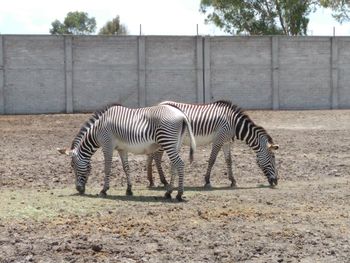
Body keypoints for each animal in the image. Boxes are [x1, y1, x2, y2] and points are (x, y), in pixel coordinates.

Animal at [56, 103, 196, 202]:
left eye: (72, 166)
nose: (79, 190)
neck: (97, 130)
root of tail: (182, 114)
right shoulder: (121, 148)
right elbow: (126, 168)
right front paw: (129, 190)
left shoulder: (107, 145)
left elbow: (107, 168)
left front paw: (104, 190)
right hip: (175, 144)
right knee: (174, 165)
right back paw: (168, 192)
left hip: (167, 141)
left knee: (180, 164)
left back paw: (179, 194)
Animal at [147, 100, 278, 189]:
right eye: (273, 157)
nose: (276, 181)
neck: (234, 124)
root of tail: (158, 105)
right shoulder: (219, 139)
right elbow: (212, 160)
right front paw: (207, 181)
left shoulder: (226, 142)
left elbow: (229, 161)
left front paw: (233, 181)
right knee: (157, 158)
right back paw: (163, 181)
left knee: (150, 156)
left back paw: (151, 181)